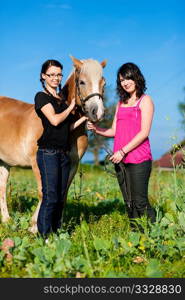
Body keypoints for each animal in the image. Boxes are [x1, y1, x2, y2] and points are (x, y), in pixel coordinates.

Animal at [0, 56, 106, 234]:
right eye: (82, 82)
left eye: (103, 83)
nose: (97, 112)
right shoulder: (37, 163)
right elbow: (44, 193)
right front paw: (34, 226)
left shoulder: (72, 165)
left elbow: (62, 195)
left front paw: (58, 227)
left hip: (4, 162)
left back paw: (7, 221)